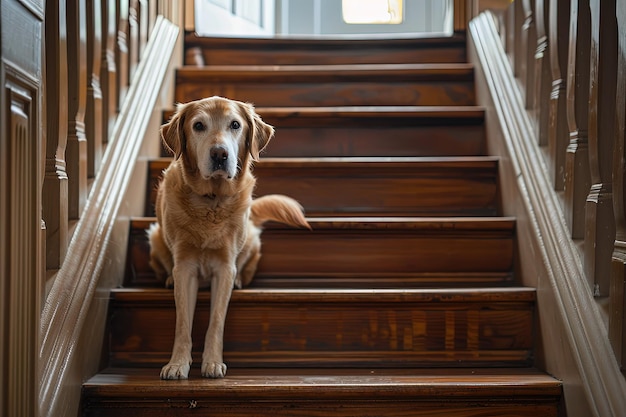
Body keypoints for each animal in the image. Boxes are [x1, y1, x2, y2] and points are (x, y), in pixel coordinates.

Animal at [147, 96, 312, 378]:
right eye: (198, 125)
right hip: (156, 237)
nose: (219, 154)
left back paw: (240, 281)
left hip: (251, 241)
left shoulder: (224, 267)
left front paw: (212, 362)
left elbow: (216, 321)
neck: (211, 201)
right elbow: (183, 323)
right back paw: (167, 279)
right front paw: (177, 364)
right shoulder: (185, 267)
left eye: (235, 124)